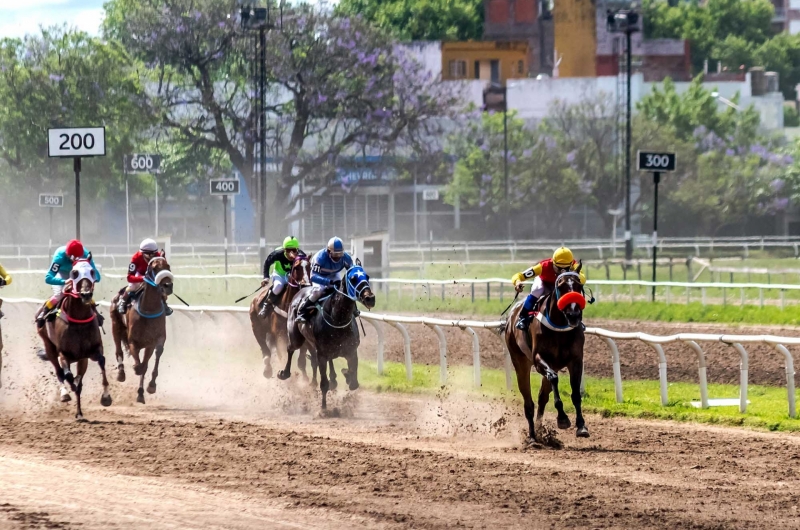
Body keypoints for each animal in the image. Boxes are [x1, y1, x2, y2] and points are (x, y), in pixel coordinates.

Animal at [35, 260, 111, 416]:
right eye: (74, 273)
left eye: (92, 271)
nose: (86, 294)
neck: (79, 318)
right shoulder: (64, 354)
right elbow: (68, 375)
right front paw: (70, 388)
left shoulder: (92, 351)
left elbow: (101, 361)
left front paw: (106, 396)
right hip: (49, 347)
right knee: (59, 372)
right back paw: (65, 394)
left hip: (82, 359)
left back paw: (79, 413)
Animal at [109, 255, 173, 400]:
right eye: (154, 268)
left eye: (168, 266)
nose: (168, 286)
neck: (149, 309)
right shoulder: (133, 341)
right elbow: (139, 366)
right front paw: (135, 369)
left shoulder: (154, 341)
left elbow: (149, 361)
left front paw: (149, 387)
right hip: (116, 326)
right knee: (118, 351)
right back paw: (121, 374)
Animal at [280, 264, 376, 408]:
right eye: (353, 278)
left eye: (368, 276)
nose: (370, 298)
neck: (338, 319)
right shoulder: (321, 354)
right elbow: (323, 383)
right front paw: (324, 408)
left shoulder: (351, 351)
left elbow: (353, 382)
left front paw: (346, 375)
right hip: (295, 336)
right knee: (290, 349)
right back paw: (284, 373)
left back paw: (334, 379)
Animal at [504, 266, 592, 440]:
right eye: (561, 286)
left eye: (579, 285)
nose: (574, 315)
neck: (560, 328)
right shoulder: (540, 360)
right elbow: (553, 378)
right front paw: (563, 418)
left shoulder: (575, 360)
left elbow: (575, 393)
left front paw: (581, 426)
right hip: (520, 360)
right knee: (528, 401)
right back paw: (532, 436)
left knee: (542, 397)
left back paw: (539, 429)